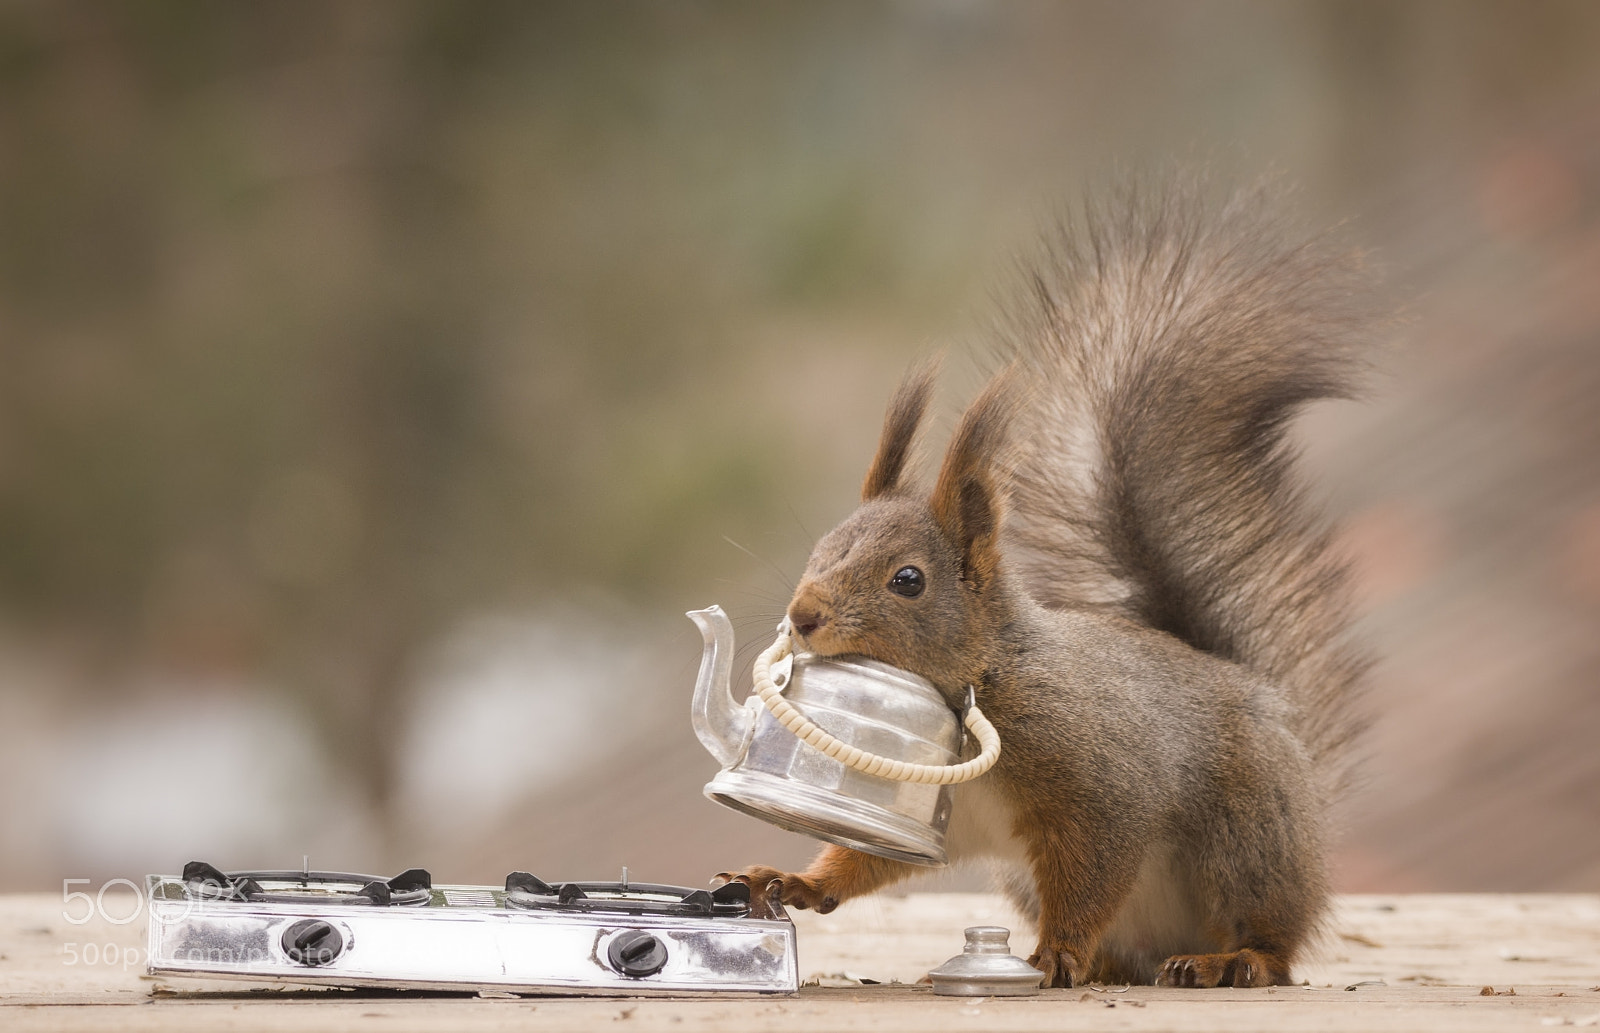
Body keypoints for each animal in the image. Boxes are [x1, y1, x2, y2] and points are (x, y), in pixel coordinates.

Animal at [717, 180, 1373, 989]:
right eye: (822, 547)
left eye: (908, 580)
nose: (803, 614)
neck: (989, 672)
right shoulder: (924, 815)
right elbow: (863, 860)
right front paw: (793, 882)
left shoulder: (1101, 788)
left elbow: (1094, 871)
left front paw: (1059, 951)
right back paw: (1116, 966)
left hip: (1247, 834)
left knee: (1275, 939)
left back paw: (1227, 959)